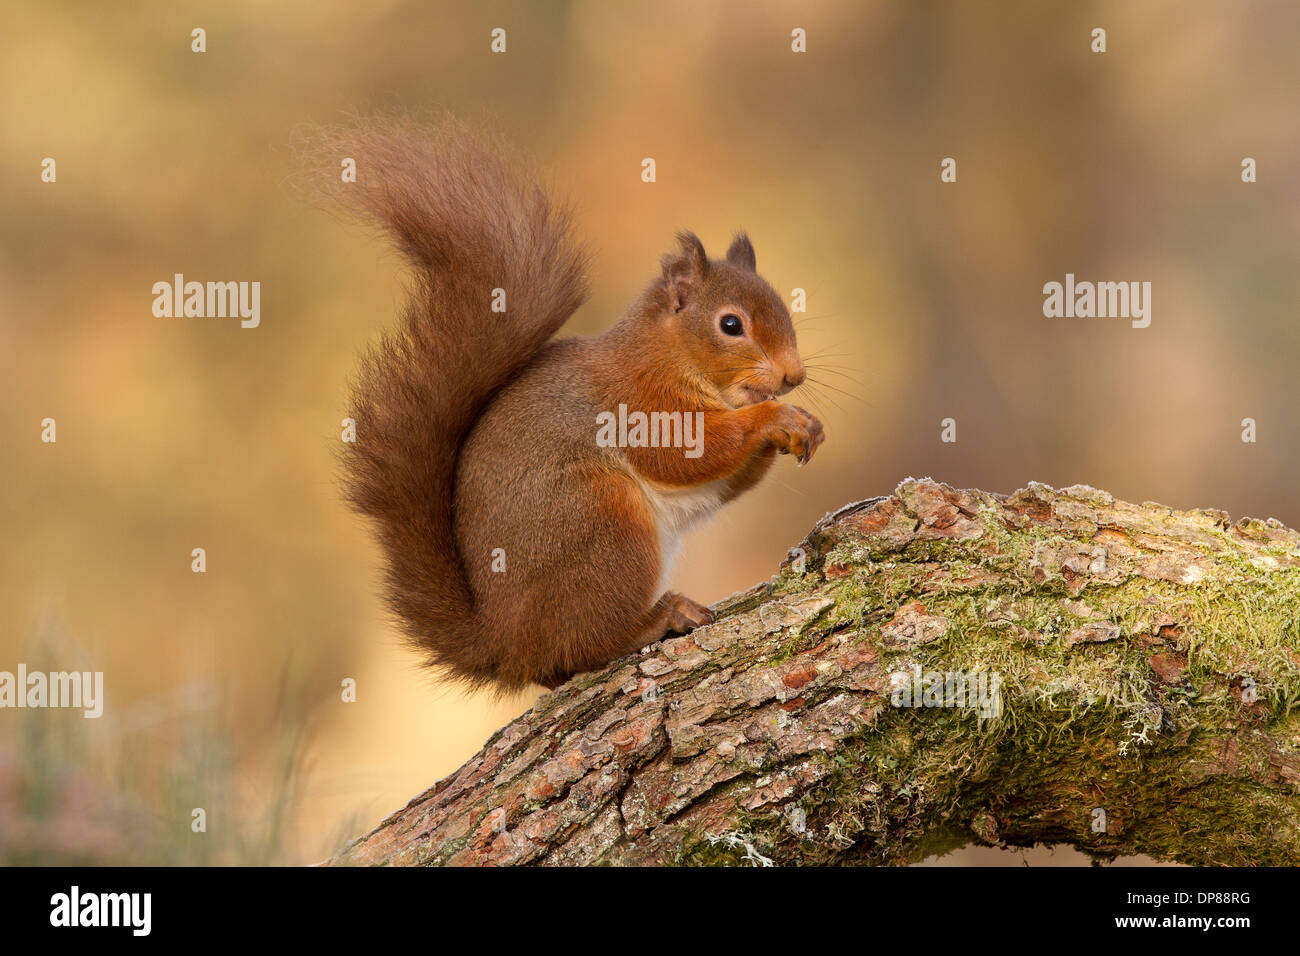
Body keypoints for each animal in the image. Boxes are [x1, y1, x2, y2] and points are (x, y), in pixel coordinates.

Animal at [335, 119, 821, 691]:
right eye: (730, 324)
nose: (793, 376)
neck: (667, 354)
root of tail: (505, 644)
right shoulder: (638, 401)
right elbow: (686, 453)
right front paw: (775, 419)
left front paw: (804, 427)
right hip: (602, 521)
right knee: (583, 646)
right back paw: (657, 619)